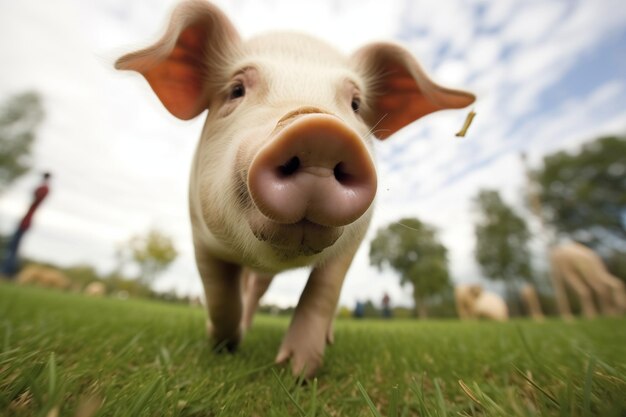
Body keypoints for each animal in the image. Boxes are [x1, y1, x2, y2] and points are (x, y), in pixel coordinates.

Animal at [116, 0, 472, 376]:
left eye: (356, 104)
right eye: (236, 89)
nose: (320, 130)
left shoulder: (354, 241)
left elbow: (323, 290)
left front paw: (298, 371)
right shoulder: (200, 235)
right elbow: (220, 295)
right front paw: (222, 344)